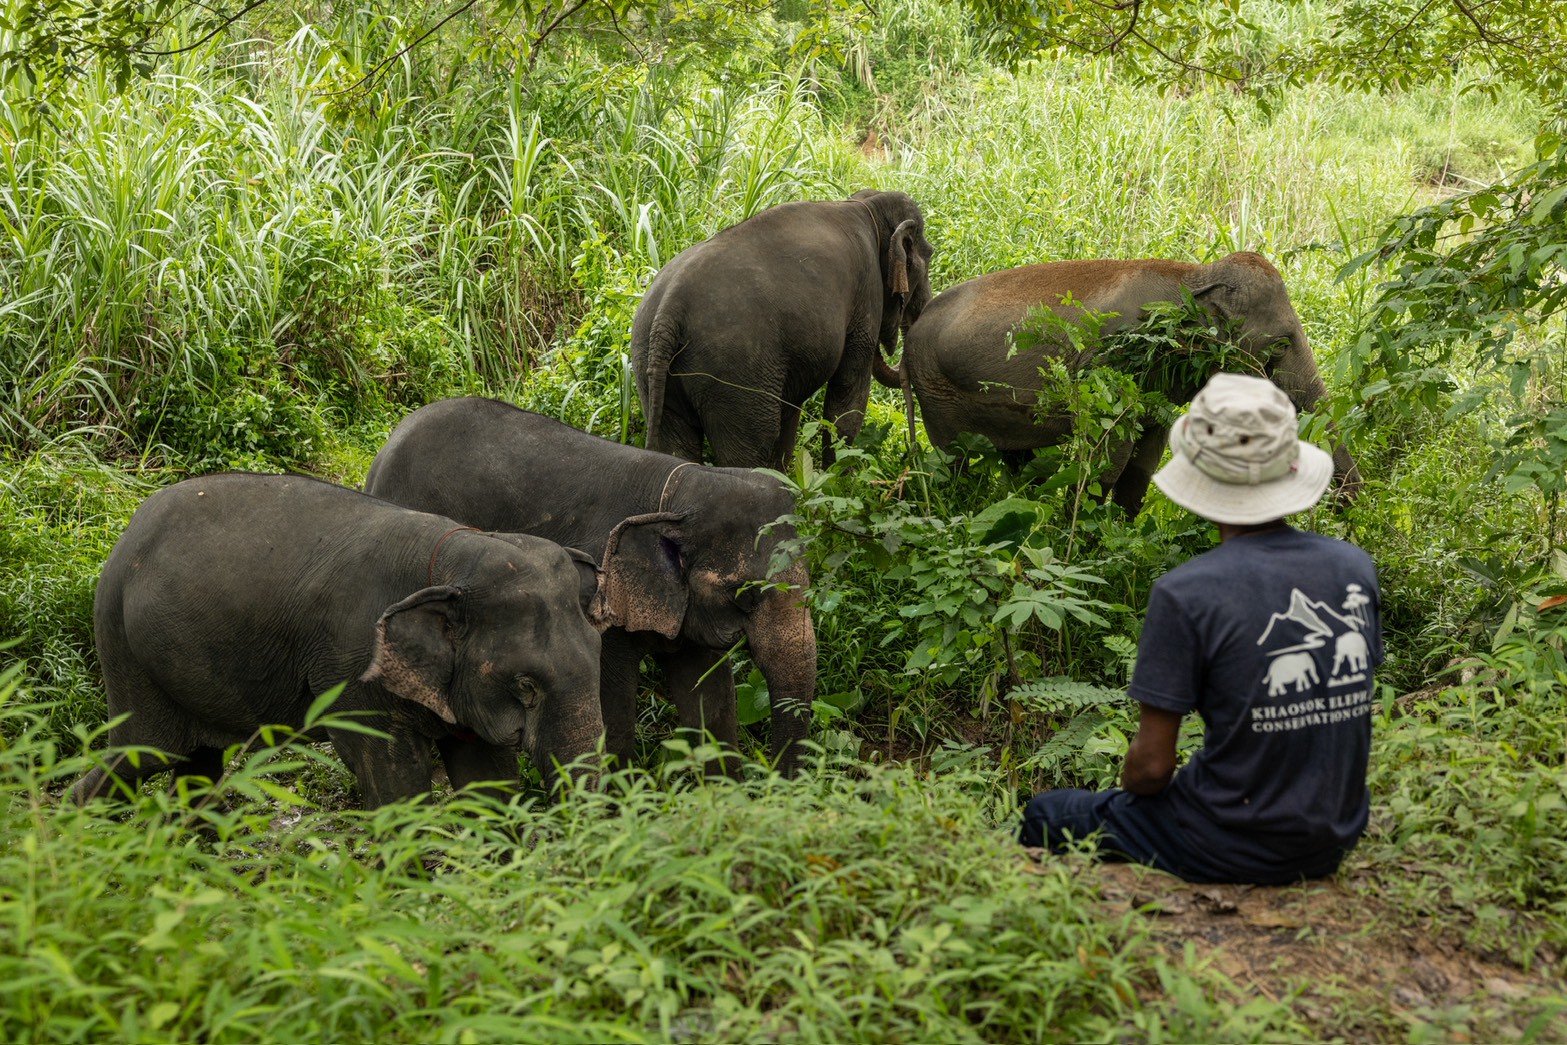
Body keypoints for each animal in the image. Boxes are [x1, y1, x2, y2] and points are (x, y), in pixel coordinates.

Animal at [73, 473, 605, 809]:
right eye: (525, 685)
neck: (457, 556)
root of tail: (125, 534)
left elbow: (484, 778)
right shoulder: (351, 667)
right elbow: (390, 776)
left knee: (195, 764)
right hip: (126, 652)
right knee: (142, 755)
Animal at [364, 397, 817, 776]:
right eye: (745, 593)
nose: (775, 781)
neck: (678, 490)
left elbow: (710, 698)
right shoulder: (603, 599)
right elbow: (612, 702)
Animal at [632, 189, 934, 471]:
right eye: (928, 256)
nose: (913, 450)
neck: (866, 203)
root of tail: (669, 310)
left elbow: (791, 410)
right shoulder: (866, 291)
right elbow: (847, 398)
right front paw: (837, 479)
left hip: (650, 363)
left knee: (676, 446)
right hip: (736, 375)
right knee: (749, 449)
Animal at [896, 251, 1361, 515]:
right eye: (1281, 345)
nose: (1346, 508)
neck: (1192, 277)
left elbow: (1145, 457)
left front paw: (1121, 529)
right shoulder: (1113, 362)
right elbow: (1110, 456)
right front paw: (1086, 534)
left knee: (1018, 461)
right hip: (937, 393)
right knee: (955, 462)